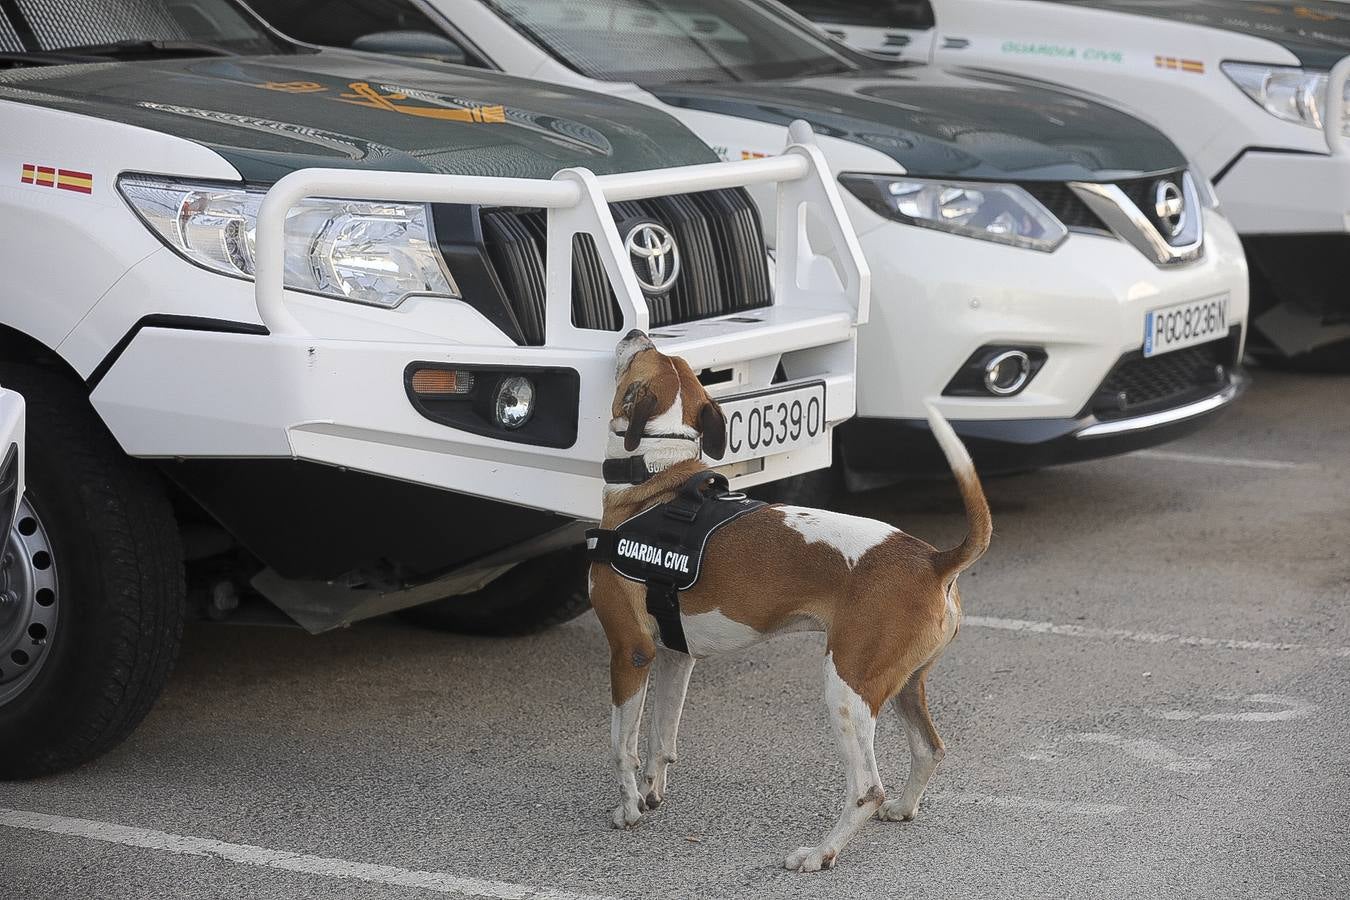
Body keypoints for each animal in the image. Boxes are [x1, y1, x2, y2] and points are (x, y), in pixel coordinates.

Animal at [591, 333, 993, 874]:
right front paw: (653, 793)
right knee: (930, 750)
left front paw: (630, 809)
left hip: (846, 685)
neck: (658, 476)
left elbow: (622, 743)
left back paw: (821, 853)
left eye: (638, 355)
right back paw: (903, 808)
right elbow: (661, 738)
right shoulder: (676, 656)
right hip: (905, 682)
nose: (635, 333)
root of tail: (932, 559)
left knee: (866, 788)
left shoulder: (631, 651)